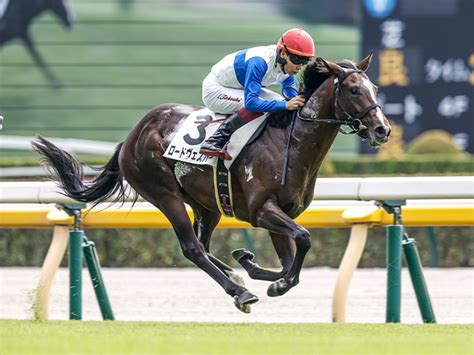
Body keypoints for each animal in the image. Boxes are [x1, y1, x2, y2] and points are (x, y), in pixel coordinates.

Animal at [32, 54, 388, 312]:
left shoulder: (281, 212)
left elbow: (291, 258)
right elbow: (303, 239)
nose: (382, 129)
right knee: (192, 248)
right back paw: (239, 292)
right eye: (354, 90)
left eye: (375, 88)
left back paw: (235, 276)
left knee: (202, 245)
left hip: (207, 204)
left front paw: (255, 268)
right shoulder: (262, 211)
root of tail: (132, 136)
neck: (292, 141)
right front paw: (270, 281)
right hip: (164, 193)